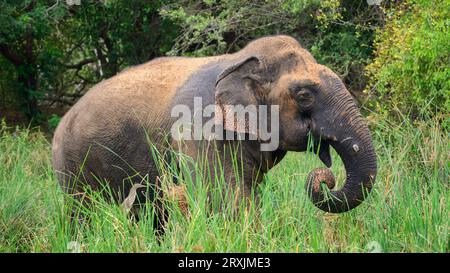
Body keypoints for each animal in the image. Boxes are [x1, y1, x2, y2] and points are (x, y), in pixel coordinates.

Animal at [51, 35, 376, 222]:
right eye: (305, 95)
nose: (326, 180)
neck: (238, 60)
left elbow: (246, 191)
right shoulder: (200, 130)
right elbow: (223, 197)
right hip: (73, 167)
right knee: (83, 212)